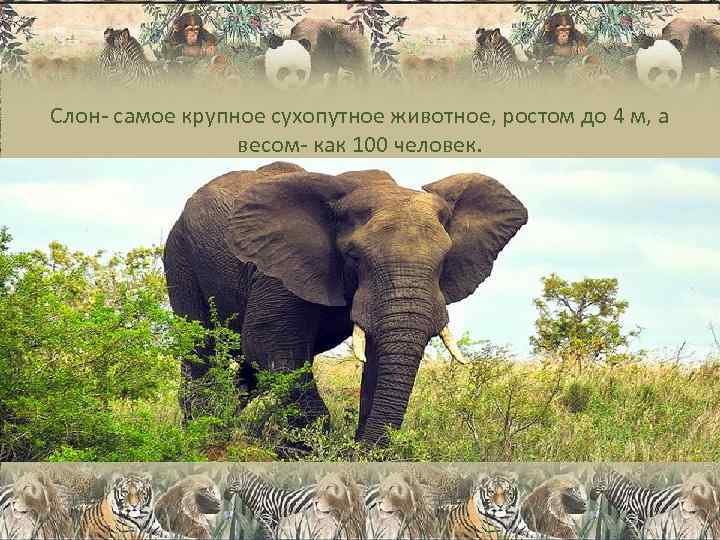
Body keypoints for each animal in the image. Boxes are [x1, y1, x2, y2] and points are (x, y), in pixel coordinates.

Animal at [163, 161, 527, 445]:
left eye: (444, 260)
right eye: (354, 257)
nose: (361, 448)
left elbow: (379, 358)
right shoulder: (277, 270)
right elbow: (269, 343)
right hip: (180, 257)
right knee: (201, 350)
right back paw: (201, 436)